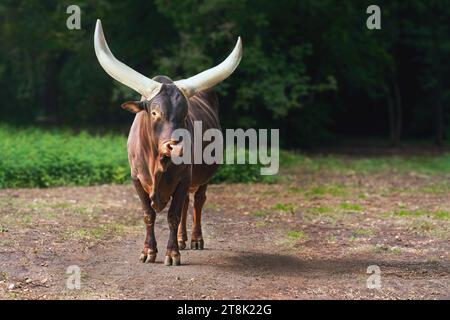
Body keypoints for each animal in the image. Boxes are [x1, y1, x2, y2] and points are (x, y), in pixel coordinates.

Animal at [93, 18, 243, 266]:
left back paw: (195, 239)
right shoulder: (136, 178)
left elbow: (172, 215)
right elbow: (149, 214)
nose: (177, 146)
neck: (157, 163)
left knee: (198, 201)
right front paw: (148, 251)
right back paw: (182, 239)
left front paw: (172, 253)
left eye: (184, 114)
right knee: (185, 205)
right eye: (154, 112)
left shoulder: (184, 178)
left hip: (203, 177)